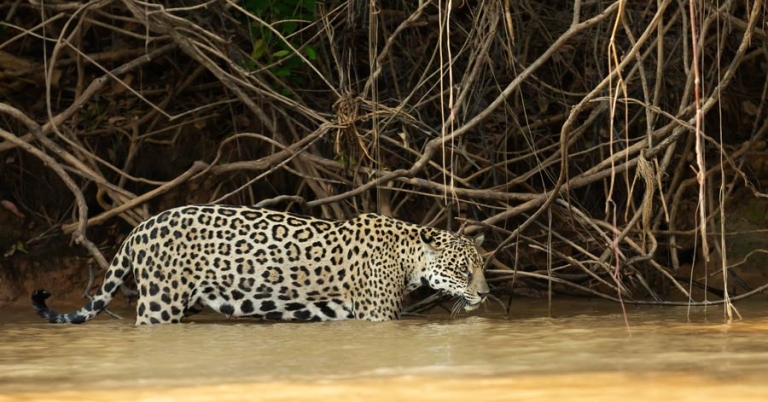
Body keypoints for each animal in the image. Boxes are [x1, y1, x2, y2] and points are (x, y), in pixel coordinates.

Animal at [31, 205, 488, 325]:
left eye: (483, 267)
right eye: (462, 271)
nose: (485, 294)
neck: (408, 254)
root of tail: (141, 226)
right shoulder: (378, 317)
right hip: (160, 302)